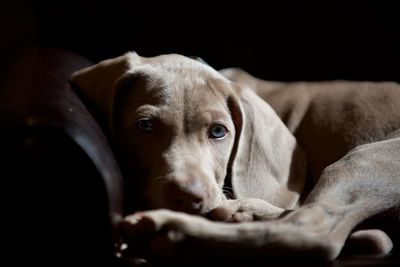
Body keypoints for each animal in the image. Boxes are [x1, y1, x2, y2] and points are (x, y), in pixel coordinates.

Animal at [72, 52, 400, 264]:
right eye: (145, 126)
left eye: (219, 131)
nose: (190, 198)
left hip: (366, 157)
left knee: (312, 228)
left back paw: (176, 232)